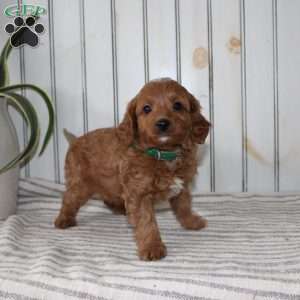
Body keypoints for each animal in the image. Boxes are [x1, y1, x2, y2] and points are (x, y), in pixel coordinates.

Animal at [56, 77, 211, 260]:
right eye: (147, 108)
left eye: (178, 105)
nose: (162, 123)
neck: (164, 155)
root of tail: (75, 140)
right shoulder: (139, 194)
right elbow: (146, 222)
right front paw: (152, 247)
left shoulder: (182, 187)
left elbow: (184, 206)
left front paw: (192, 222)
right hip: (80, 185)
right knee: (69, 200)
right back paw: (63, 220)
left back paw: (119, 209)